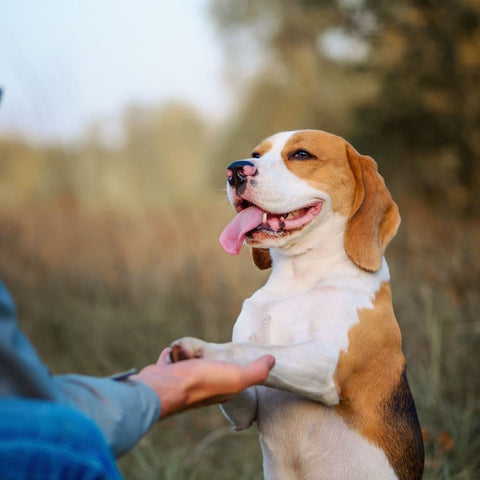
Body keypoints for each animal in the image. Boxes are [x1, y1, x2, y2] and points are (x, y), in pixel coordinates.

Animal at [170, 129, 424, 478]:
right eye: (256, 154)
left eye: (302, 155)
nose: (235, 170)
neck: (299, 279)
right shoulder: (246, 408)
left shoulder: (326, 364)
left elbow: (251, 349)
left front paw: (203, 350)